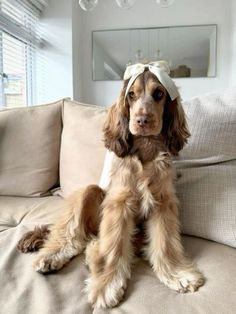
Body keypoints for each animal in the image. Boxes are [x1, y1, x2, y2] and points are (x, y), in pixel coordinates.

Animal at [17, 62, 204, 308]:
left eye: (159, 94)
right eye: (131, 95)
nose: (142, 120)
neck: (145, 149)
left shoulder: (163, 203)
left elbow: (165, 243)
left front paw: (176, 274)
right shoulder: (119, 203)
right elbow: (113, 247)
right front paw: (106, 285)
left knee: (90, 241)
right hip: (90, 193)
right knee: (73, 235)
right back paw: (53, 256)